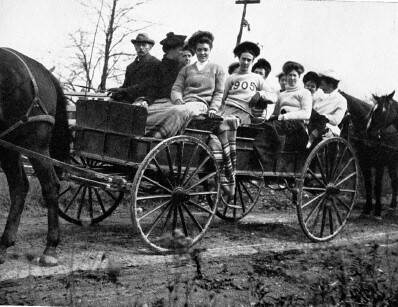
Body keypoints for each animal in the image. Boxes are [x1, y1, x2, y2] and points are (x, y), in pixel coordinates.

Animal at [0, 48, 70, 268]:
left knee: (50, 186)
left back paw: (50, 249)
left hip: (35, 144)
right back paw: (4, 244)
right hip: (9, 146)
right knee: (19, 187)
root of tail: (44, 72)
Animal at [338, 90, 398, 218]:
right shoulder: (364, 163)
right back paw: (392, 205)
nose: (371, 132)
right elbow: (368, 185)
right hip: (392, 162)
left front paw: (377, 211)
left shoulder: (380, 164)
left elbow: (377, 186)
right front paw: (367, 209)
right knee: (394, 180)